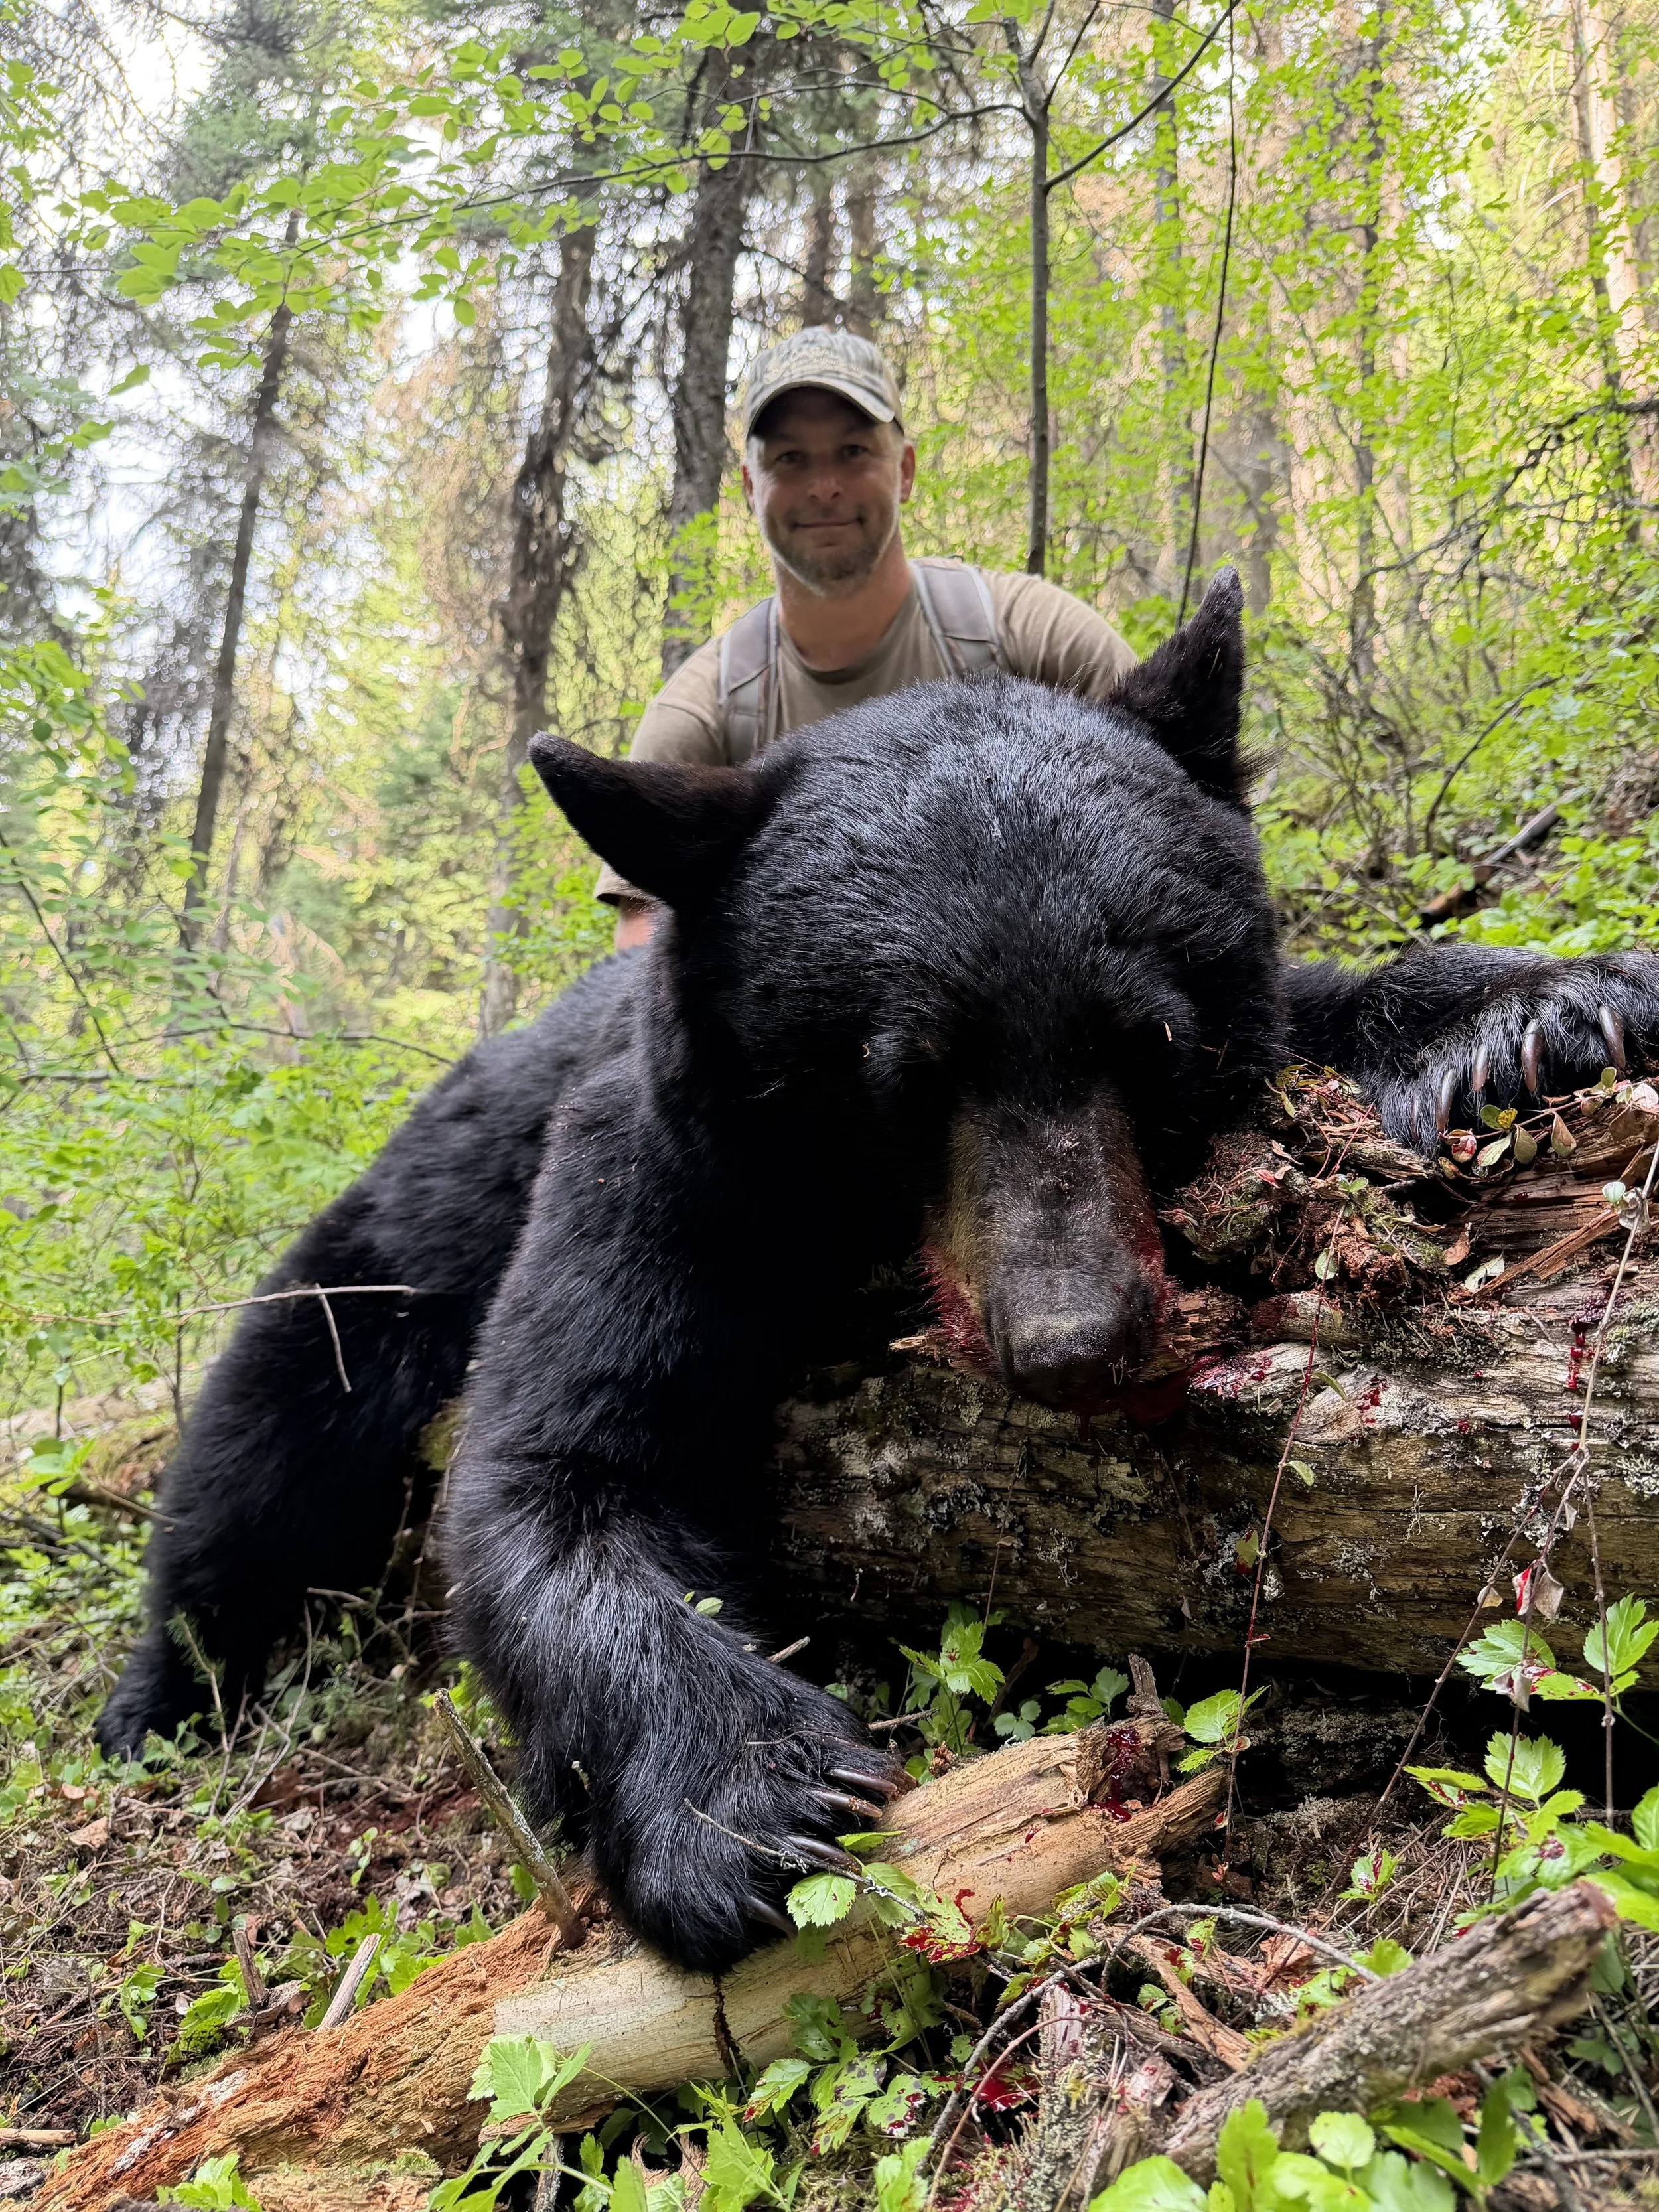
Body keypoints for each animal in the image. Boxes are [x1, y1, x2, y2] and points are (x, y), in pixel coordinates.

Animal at [98, 571, 1659, 1972]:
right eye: (903, 1077)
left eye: (1147, 1042)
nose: (1074, 1333)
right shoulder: (656, 1180)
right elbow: (555, 1475)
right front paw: (752, 1797)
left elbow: (1343, 1009)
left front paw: (1551, 1008)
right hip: (379, 1265)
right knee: (257, 1465)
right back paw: (153, 1701)